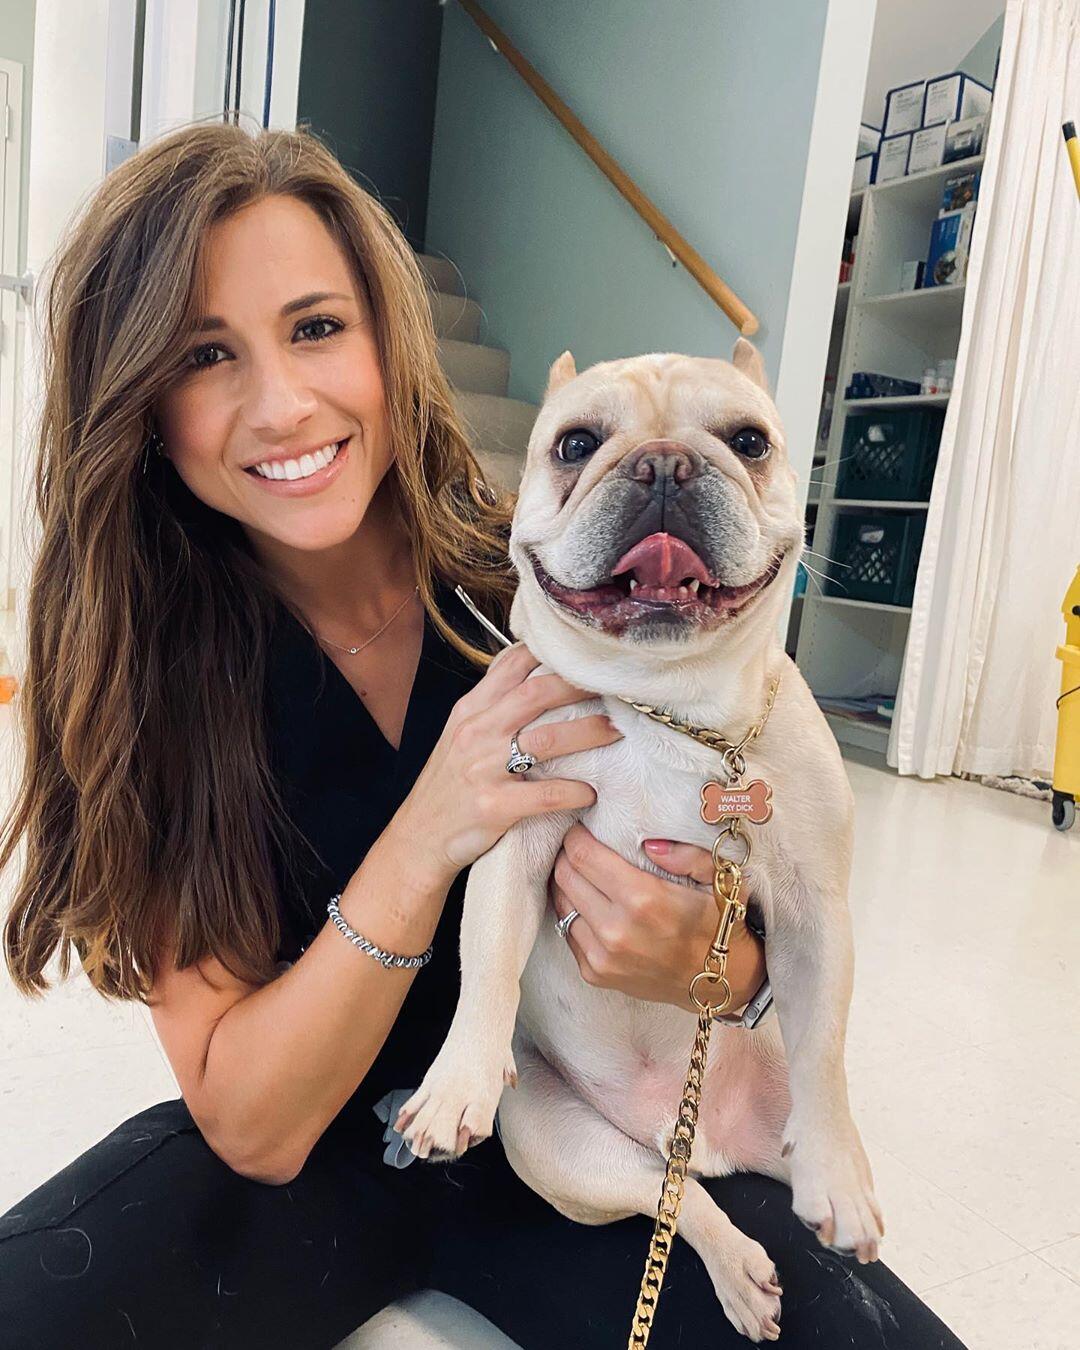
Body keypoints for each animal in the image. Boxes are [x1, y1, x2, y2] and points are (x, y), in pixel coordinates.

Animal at [398, 342, 883, 1341]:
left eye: (751, 442)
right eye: (575, 445)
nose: (664, 464)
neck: (673, 705)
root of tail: (700, 1137)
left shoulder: (817, 911)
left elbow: (825, 1047)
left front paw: (840, 1175)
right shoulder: (514, 842)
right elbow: (488, 961)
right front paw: (456, 1079)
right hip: (555, 1143)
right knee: (674, 1201)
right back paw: (738, 1271)